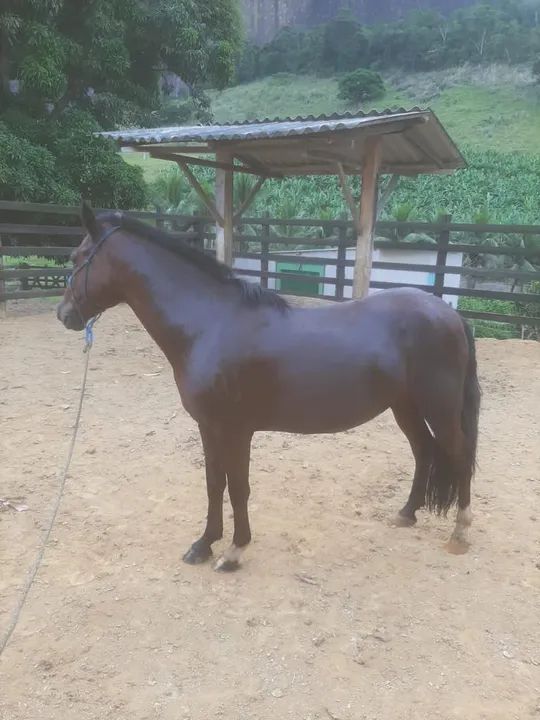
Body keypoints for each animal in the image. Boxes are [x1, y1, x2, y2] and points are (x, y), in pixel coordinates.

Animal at [57, 202, 481, 572]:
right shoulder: (209, 427)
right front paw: (204, 545)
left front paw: (234, 552)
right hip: (404, 406)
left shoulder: (236, 430)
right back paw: (406, 514)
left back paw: (460, 532)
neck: (210, 324)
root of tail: (449, 314)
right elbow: (214, 484)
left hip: (439, 407)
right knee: (424, 451)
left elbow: (238, 487)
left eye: (78, 258)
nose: (64, 315)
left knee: (459, 455)